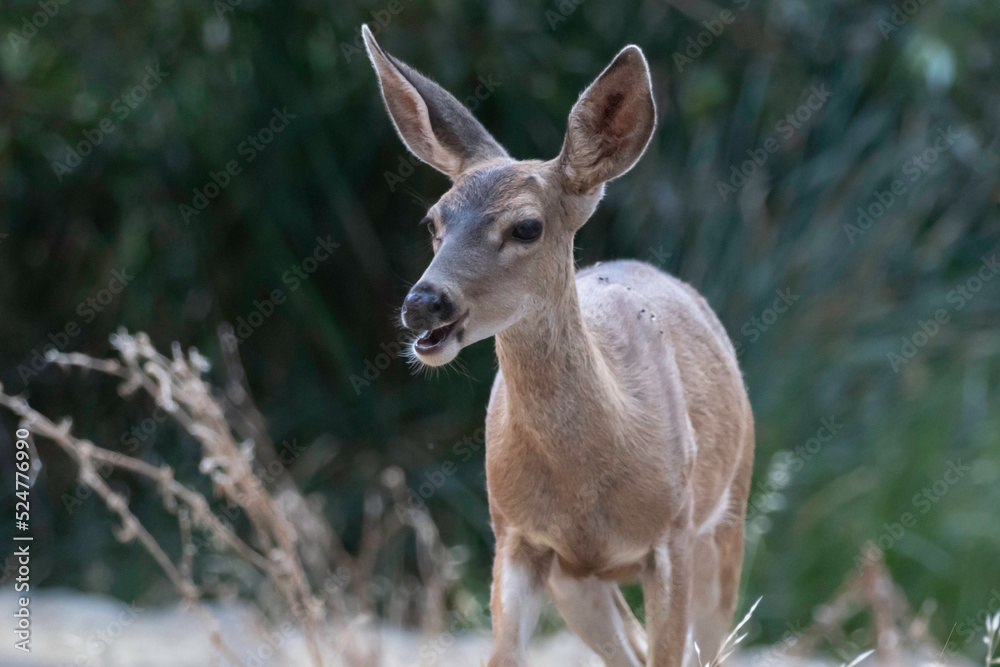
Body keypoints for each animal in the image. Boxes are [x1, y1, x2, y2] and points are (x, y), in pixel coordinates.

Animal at [364, 26, 752, 667]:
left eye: (527, 226)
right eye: (433, 222)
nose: (424, 303)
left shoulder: (672, 535)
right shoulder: (516, 535)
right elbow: (502, 655)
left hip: (727, 517)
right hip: (577, 582)